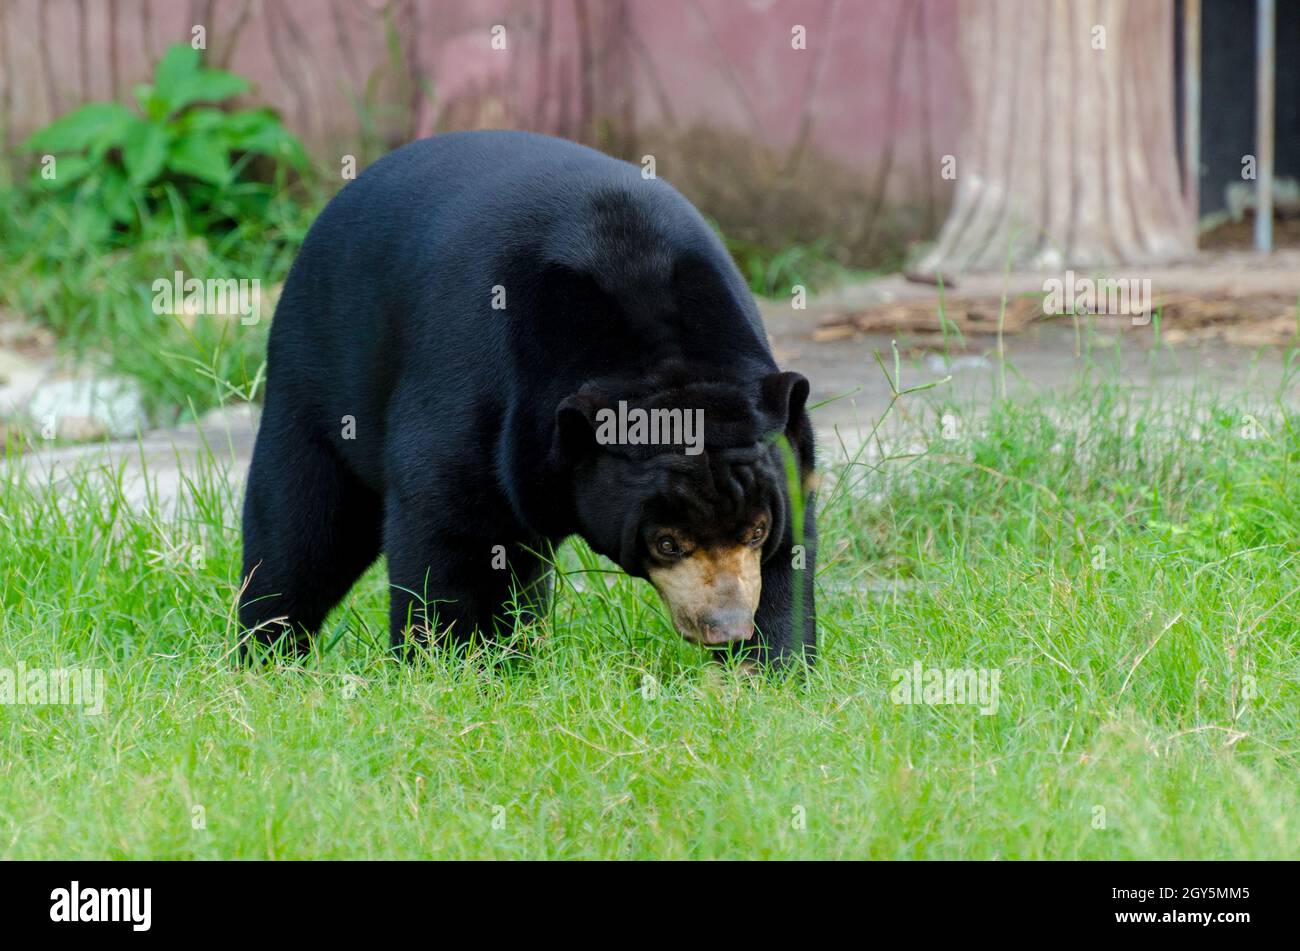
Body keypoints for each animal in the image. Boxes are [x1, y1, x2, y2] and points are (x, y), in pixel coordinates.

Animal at [239, 129, 816, 670]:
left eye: (757, 530)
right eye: (666, 543)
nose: (726, 628)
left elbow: (787, 559)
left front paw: (769, 668)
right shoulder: (475, 389)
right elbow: (447, 539)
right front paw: (445, 665)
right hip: (316, 380)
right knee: (302, 531)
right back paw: (267, 654)